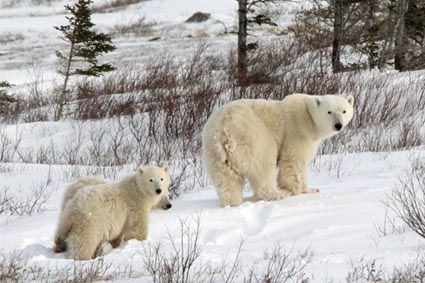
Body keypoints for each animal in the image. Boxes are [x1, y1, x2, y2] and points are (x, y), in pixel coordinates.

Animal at [202, 94, 354, 207]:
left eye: (344, 111)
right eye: (329, 111)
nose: (338, 125)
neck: (309, 116)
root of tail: (223, 129)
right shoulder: (298, 130)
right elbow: (294, 160)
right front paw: (306, 190)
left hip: (213, 150)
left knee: (226, 177)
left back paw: (232, 203)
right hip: (252, 135)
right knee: (264, 164)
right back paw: (278, 193)